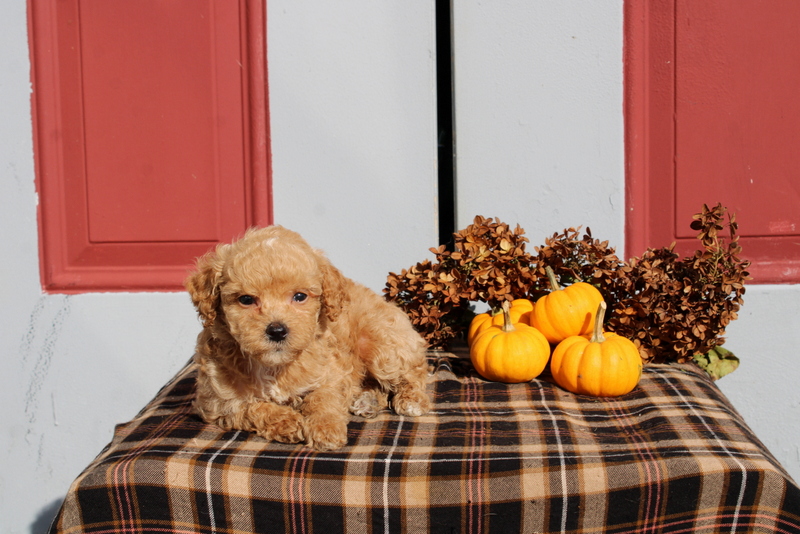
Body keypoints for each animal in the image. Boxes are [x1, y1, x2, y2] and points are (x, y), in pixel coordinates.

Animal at [185, 226, 432, 452]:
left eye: (300, 296)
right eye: (246, 299)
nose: (277, 331)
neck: (275, 366)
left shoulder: (332, 372)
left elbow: (322, 398)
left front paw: (326, 429)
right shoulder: (217, 401)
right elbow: (251, 407)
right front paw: (288, 422)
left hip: (381, 344)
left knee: (414, 371)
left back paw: (411, 400)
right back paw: (367, 402)